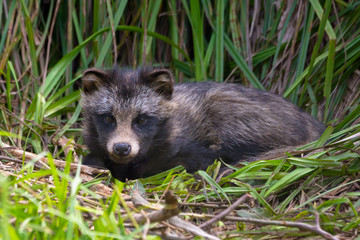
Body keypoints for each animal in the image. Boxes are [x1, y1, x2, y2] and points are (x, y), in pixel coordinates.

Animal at [81, 66, 324, 181]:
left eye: (141, 119)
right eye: (108, 118)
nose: (122, 148)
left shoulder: (189, 148)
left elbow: (185, 161)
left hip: (231, 111)